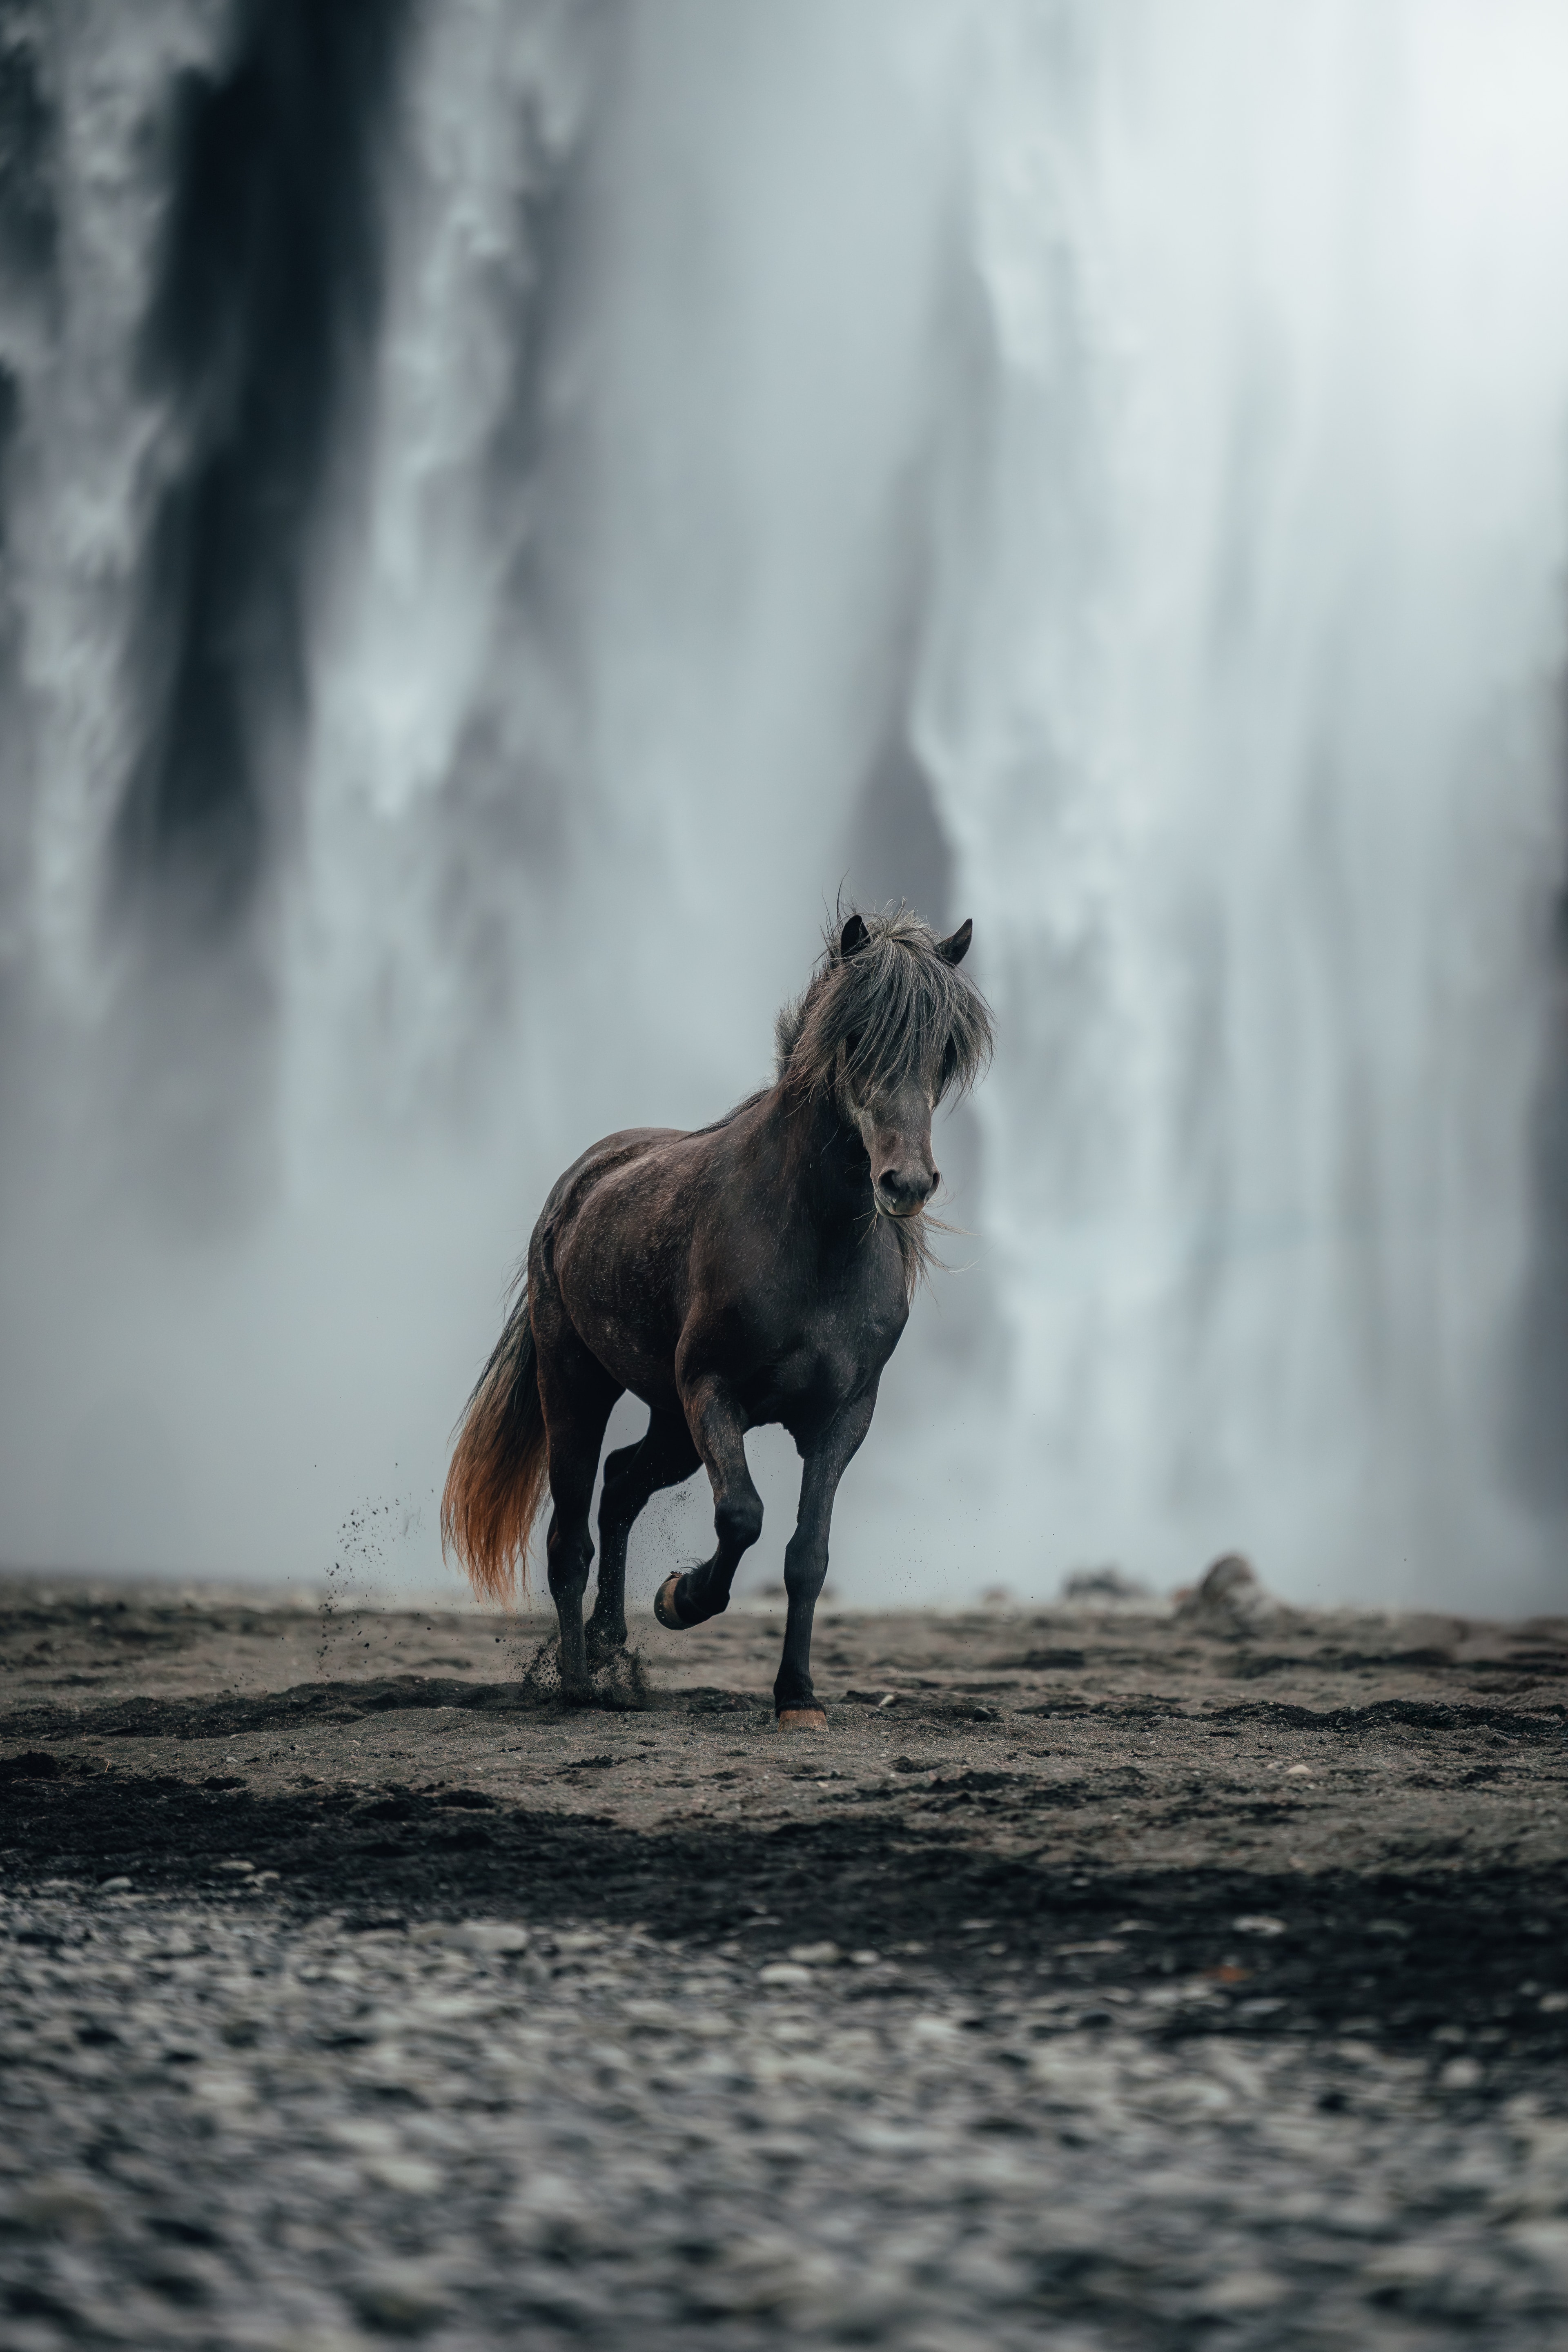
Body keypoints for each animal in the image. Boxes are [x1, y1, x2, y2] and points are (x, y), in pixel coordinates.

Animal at [440, 906, 993, 1727]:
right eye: (856, 1036)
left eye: (944, 1049)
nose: (907, 1183)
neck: (812, 1243)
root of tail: (579, 1184)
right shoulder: (714, 1392)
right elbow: (742, 1516)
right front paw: (682, 1598)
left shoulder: (842, 1418)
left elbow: (807, 1555)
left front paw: (797, 1697)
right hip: (578, 1385)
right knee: (570, 1535)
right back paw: (578, 1682)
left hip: (669, 1423)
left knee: (621, 1487)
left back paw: (610, 1646)